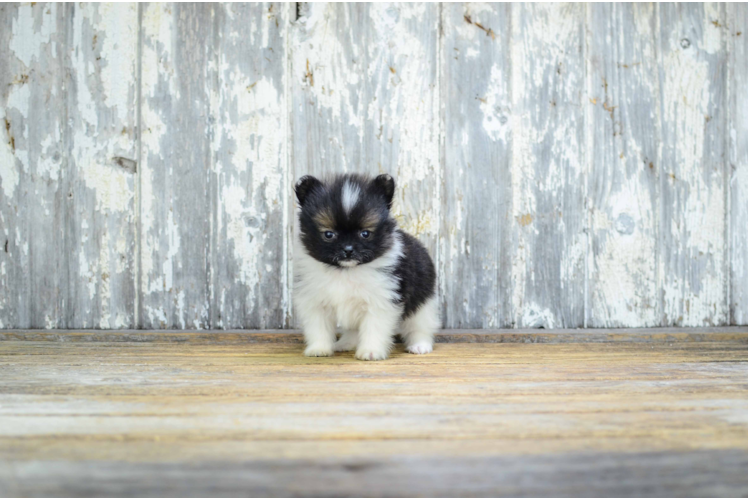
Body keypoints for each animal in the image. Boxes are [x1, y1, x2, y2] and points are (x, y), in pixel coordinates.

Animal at [296, 173, 442, 360]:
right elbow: (318, 327)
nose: (348, 250)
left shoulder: (380, 301)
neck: (346, 271)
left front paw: (371, 352)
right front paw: (319, 349)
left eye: (365, 234)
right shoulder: (315, 302)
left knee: (419, 325)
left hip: (422, 301)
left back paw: (420, 345)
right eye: (329, 234)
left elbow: (374, 328)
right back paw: (345, 344)